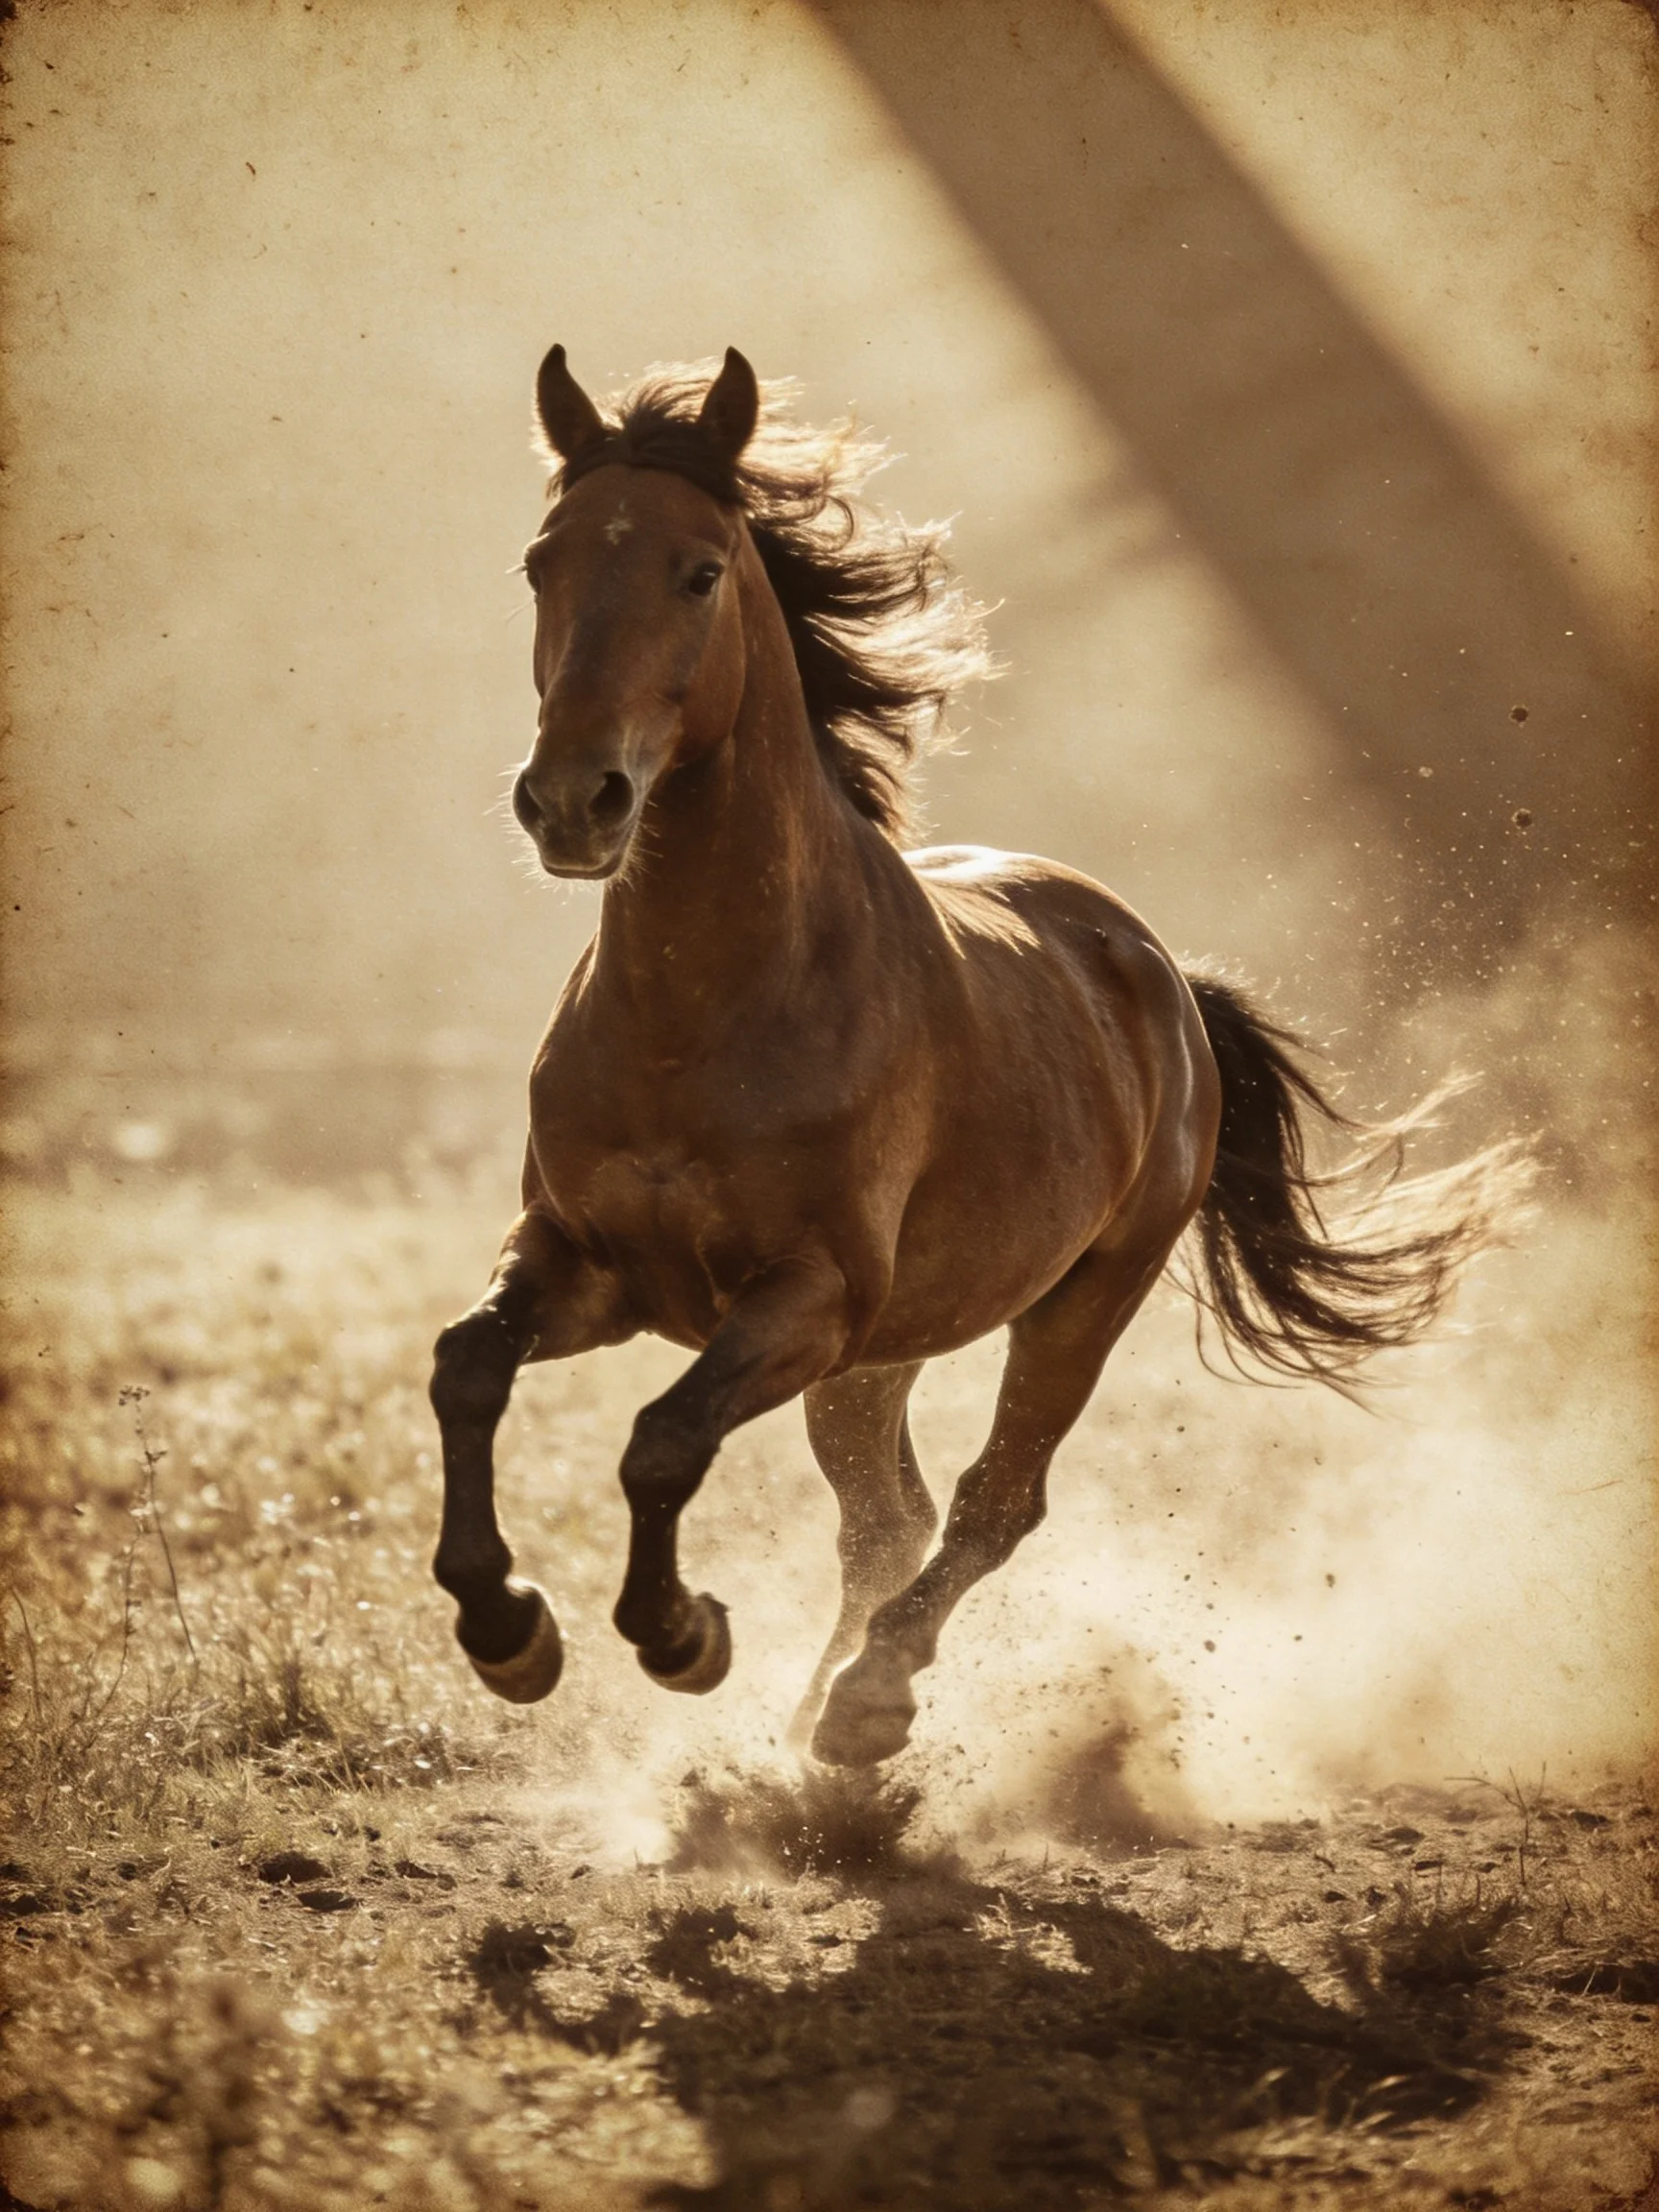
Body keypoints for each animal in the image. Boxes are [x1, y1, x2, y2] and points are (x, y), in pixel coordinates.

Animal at [428, 345, 1512, 1767]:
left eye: (699, 571)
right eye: (540, 564)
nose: (571, 801)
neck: (703, 1018)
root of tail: (1160, 973)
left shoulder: (808, 1296)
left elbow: (661, 1441)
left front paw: (681, 1635)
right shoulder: (587, 1264)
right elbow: (466, 1368)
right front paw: (508, 1631)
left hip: (1073, 1304)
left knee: (994, 1502)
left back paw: (865, 1706)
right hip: (884, 1355)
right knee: (889, 1517)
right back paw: (813, 1723)